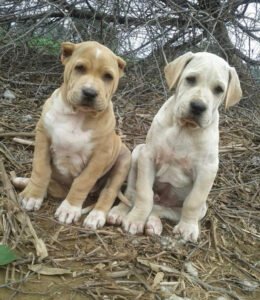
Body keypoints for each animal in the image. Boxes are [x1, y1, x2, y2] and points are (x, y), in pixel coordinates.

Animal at [13, 41, 131, 229]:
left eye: (108, 77)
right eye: (79, 68)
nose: (90, 93)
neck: (78, 115)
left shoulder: (101, 155)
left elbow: (83, 181)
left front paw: (69, 208)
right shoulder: (42, 136)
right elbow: (40, 168)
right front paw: (32, 195)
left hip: (123, 161)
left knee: (109, 191)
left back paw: (96, 215)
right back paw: (24, 182)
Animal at [107, 52, 242, 241]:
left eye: (219, 90)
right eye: (190, 79)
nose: (198, 107)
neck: (184, 129)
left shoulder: (207, 170)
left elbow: (192, 202)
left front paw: (188, 228)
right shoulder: (148, 156)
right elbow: (143, 194)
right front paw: (136, 219)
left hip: (201, 208)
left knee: (160, 209)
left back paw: (154, 224)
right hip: (137, 153)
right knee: (133, 194)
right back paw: (121, 212)